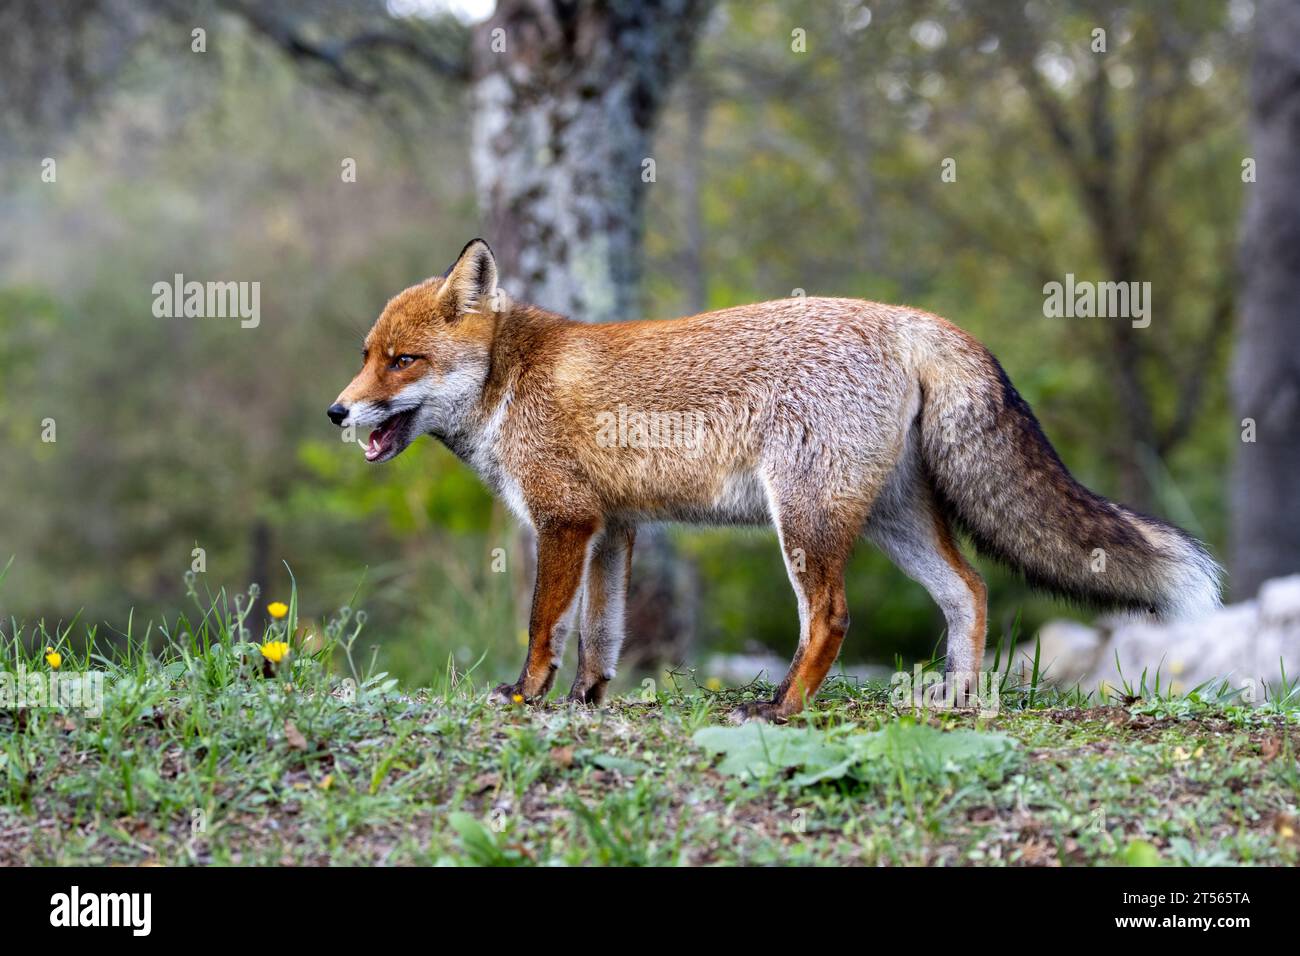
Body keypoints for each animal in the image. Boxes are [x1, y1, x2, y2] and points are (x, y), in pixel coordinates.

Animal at [328, 238, 1222, 722]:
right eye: (365, 354)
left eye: (402, 361)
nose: (337, 412)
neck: (512, 380)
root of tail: (912, 320)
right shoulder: (614, 528)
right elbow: (601, 637)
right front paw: (586, 702)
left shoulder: (565, 520)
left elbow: (544, 629)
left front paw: (526, 696)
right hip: (889, 519)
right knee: (968, 589)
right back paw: (958, 703)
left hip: (804, 518)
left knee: (830, 617)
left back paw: (783, 707)